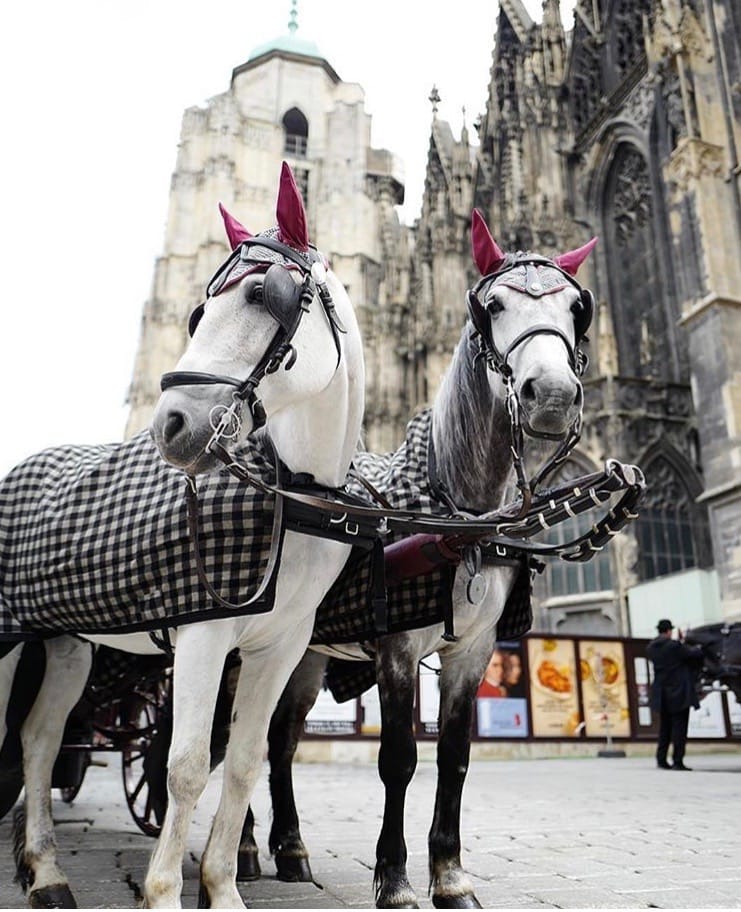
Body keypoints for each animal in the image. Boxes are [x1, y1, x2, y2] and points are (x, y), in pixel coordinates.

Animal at [0, 160, 364, 908]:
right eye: (199, 312)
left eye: (261, 294)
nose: (171, 425)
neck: (289, 492)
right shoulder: (202, 634)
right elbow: (187, 764)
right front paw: (165, 891)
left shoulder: (280, 648)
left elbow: (246, 761)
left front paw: (223, 887)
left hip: (68, 640)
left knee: (40, 737)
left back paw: (46, 869)